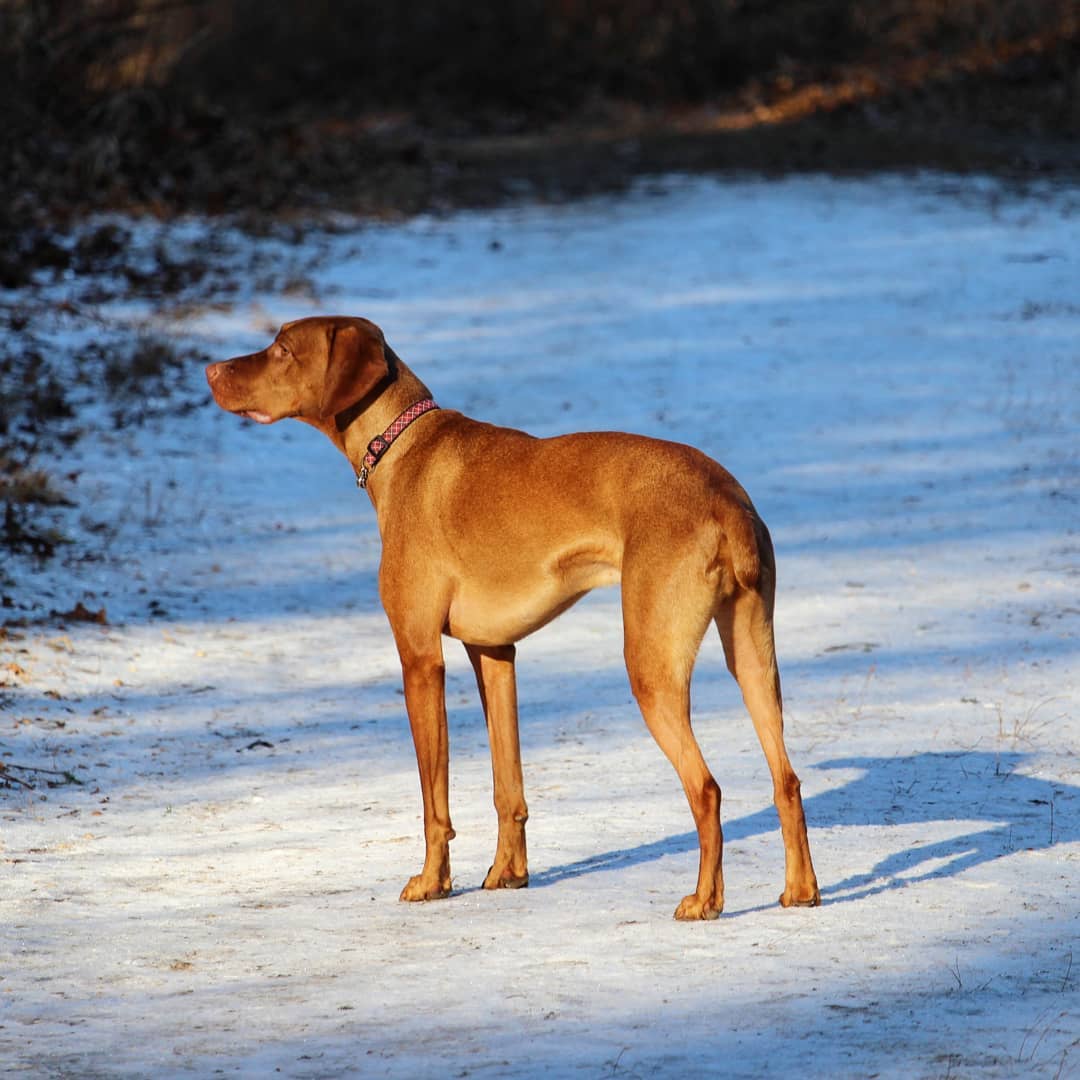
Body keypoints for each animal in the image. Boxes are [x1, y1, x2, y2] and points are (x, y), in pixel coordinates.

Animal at [206, 315, 816, 920]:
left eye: (283, 349)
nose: (210, 370)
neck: (402, 445)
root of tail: (725, 499)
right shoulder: (495, 654)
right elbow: (508, 786)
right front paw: (507, 873)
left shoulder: (419, 658)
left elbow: (433, 800)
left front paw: (431, 882)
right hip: (754, 662)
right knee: (786, 779)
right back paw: (800, 890)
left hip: (652, 668)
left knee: (706, 788)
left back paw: (705, 901)